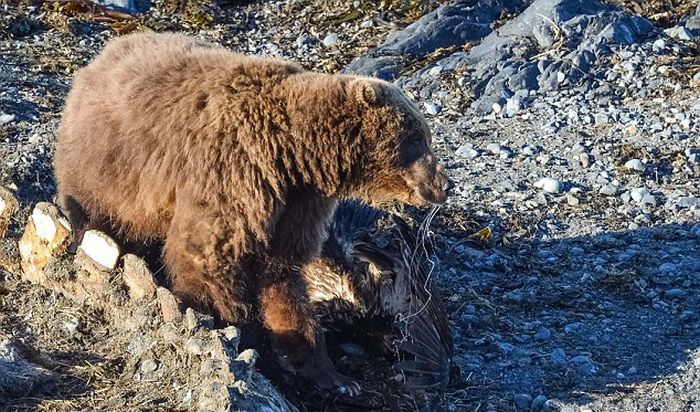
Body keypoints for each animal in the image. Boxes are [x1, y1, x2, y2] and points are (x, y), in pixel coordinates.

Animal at [54, 32, 448, 392]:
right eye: (418, 138)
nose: (444, 184)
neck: (295, 154)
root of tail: (98, 59)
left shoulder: (296, 203)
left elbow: (282, 275)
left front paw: (328, 371)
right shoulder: (234, 170)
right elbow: (207, 257)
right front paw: (234, 330)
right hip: (106, 169)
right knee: (94, 214)